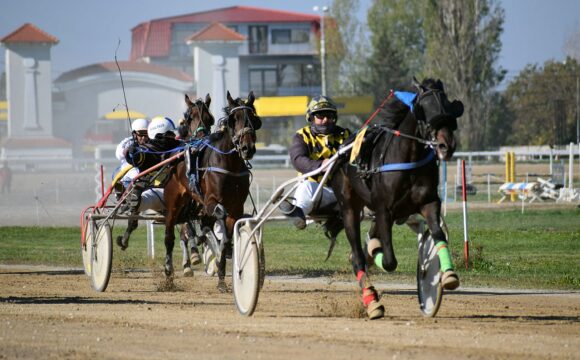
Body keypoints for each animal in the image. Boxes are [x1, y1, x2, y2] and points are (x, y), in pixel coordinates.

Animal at [163, 90, 262, 292]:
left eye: (253, 118)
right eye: (233, 119)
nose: (247, 148)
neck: (230, 164)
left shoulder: (236, 208)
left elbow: (226, 237)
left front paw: (222, 278)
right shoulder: (210, 202)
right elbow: (219, 215)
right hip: (173, 203)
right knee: (169, 235)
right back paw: (169, 275)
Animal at [330, 77, 462, 320]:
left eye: (449, 106)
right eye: (424, 109)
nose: (446, 145)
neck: (409, 158)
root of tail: (341, 151)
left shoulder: (429, 203)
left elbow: (438, 234)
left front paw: (447, 274)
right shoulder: (384, 210)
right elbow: (390, 261)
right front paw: (376, 253)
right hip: (349, 208)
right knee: (357, 257)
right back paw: (372, 302)